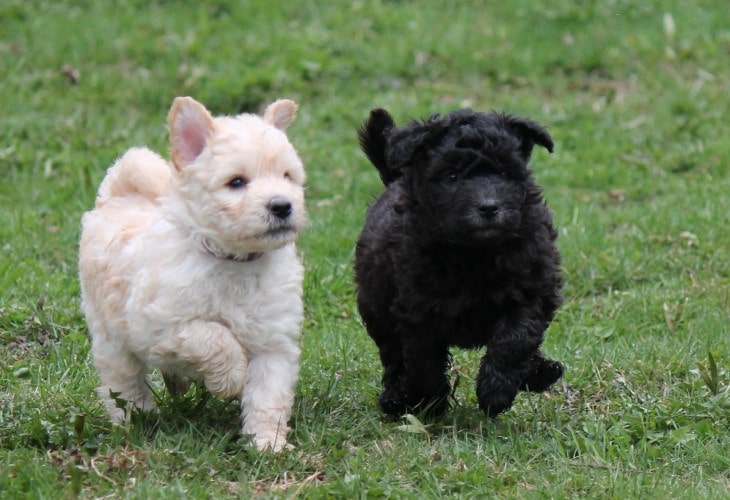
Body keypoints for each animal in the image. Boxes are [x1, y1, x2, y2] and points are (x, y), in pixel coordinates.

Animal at [79, 95, 304, 452]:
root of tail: (120, 194)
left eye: (287, 176)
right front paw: (231, 380)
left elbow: (269, 395)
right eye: (236, 182)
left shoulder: (274, 342)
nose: (282, 205)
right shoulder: (161, 324)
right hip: (110, 335)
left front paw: (268, 444)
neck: (236, 261)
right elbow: (213, 336)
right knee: (122, 382)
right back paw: (137, 419)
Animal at [352, 109, 564, 418]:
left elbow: (516, 338)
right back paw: (396, 399)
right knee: (393, 356)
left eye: (504, 173)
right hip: (376, 306)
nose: (489, 207)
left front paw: (495, 391)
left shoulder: (531, 290)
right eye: (451, 176)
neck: (475, 253)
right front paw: (431, 402)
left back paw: (540, 372)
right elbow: (422, 362)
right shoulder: (418, 310)